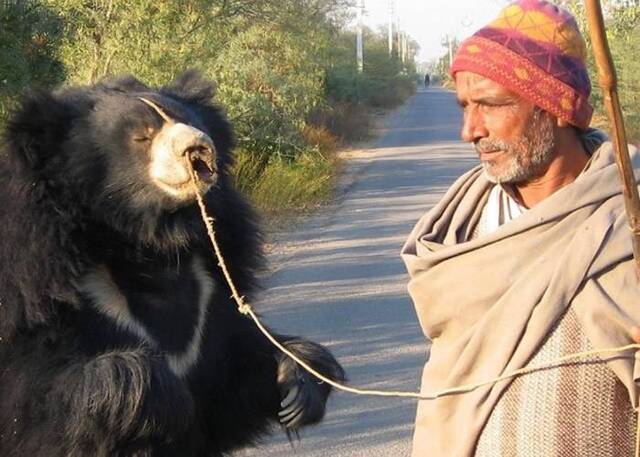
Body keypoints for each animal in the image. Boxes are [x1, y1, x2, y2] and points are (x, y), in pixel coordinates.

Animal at [0, 71, 344, 456]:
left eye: (192, 122)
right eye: (141, 136)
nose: (197, 147)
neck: (146, 245)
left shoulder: (211, 292)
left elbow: (232, 379)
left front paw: (298, 383)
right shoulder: (36, 284)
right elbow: (36, 400)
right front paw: (161, 393)